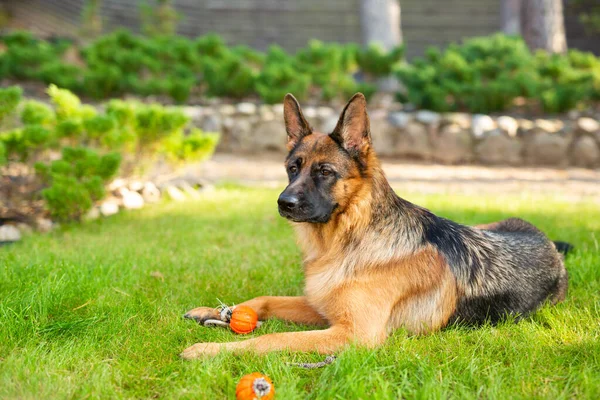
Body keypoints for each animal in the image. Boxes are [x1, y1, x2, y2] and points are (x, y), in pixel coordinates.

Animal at [180, 94, 568, 360]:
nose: (283, 203)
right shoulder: (322, 308)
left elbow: (271, 339)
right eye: (293, 168)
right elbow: (266, 299)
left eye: (325, 172)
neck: (348, 240)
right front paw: (217, 312)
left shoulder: (352, 333)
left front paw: (210, 351)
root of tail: (550, 245)